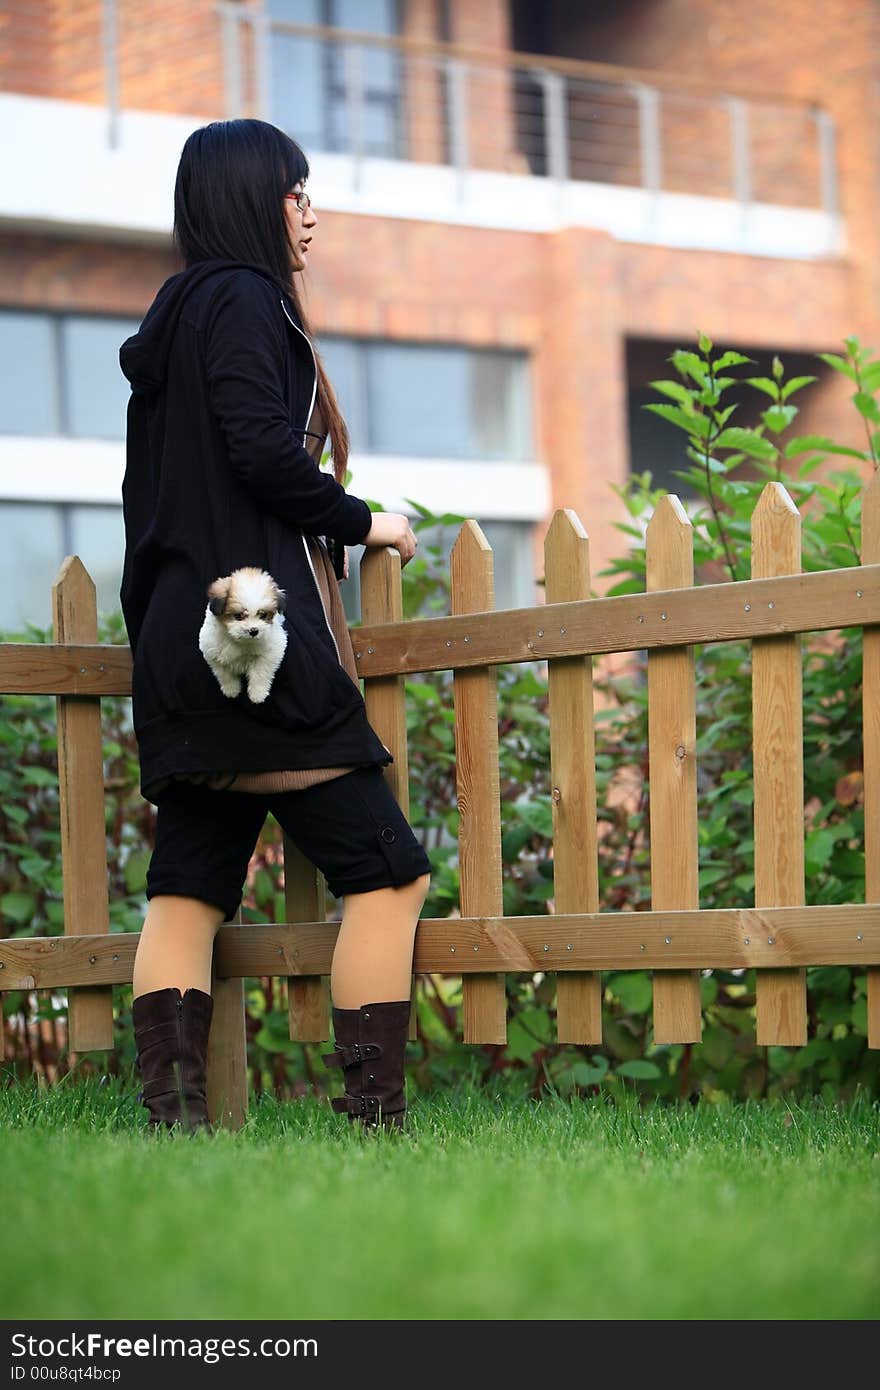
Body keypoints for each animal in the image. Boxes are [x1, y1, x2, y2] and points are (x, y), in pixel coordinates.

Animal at [197, 564, 286, 700]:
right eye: (238, 616)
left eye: (263, 615)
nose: (253, 631)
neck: (240, 641)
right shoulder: (212, 653)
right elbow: (224, 674)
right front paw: (231, 689)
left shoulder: (272, 651)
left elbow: (261, 672)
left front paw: (257, 693)